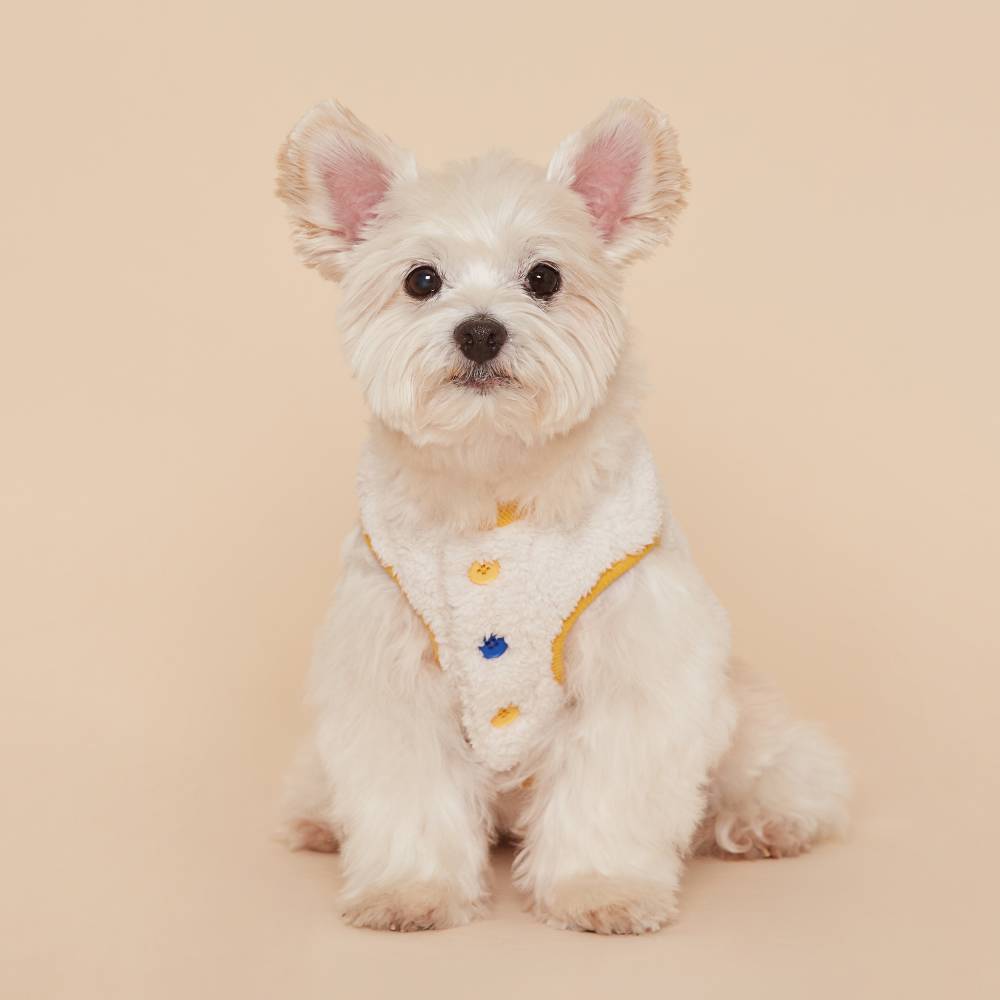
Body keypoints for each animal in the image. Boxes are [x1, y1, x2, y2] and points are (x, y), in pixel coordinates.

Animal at [275, 98, 849, 934]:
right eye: (422, 279)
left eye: (544, 276)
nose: (481, 329)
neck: (497, 475)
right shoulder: (387, 673)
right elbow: (409, 794)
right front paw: (410, 891)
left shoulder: (639, 665)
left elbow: (610, 793)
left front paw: (599, 888)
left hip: (746, 723)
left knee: (781, 770)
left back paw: (766, 820)